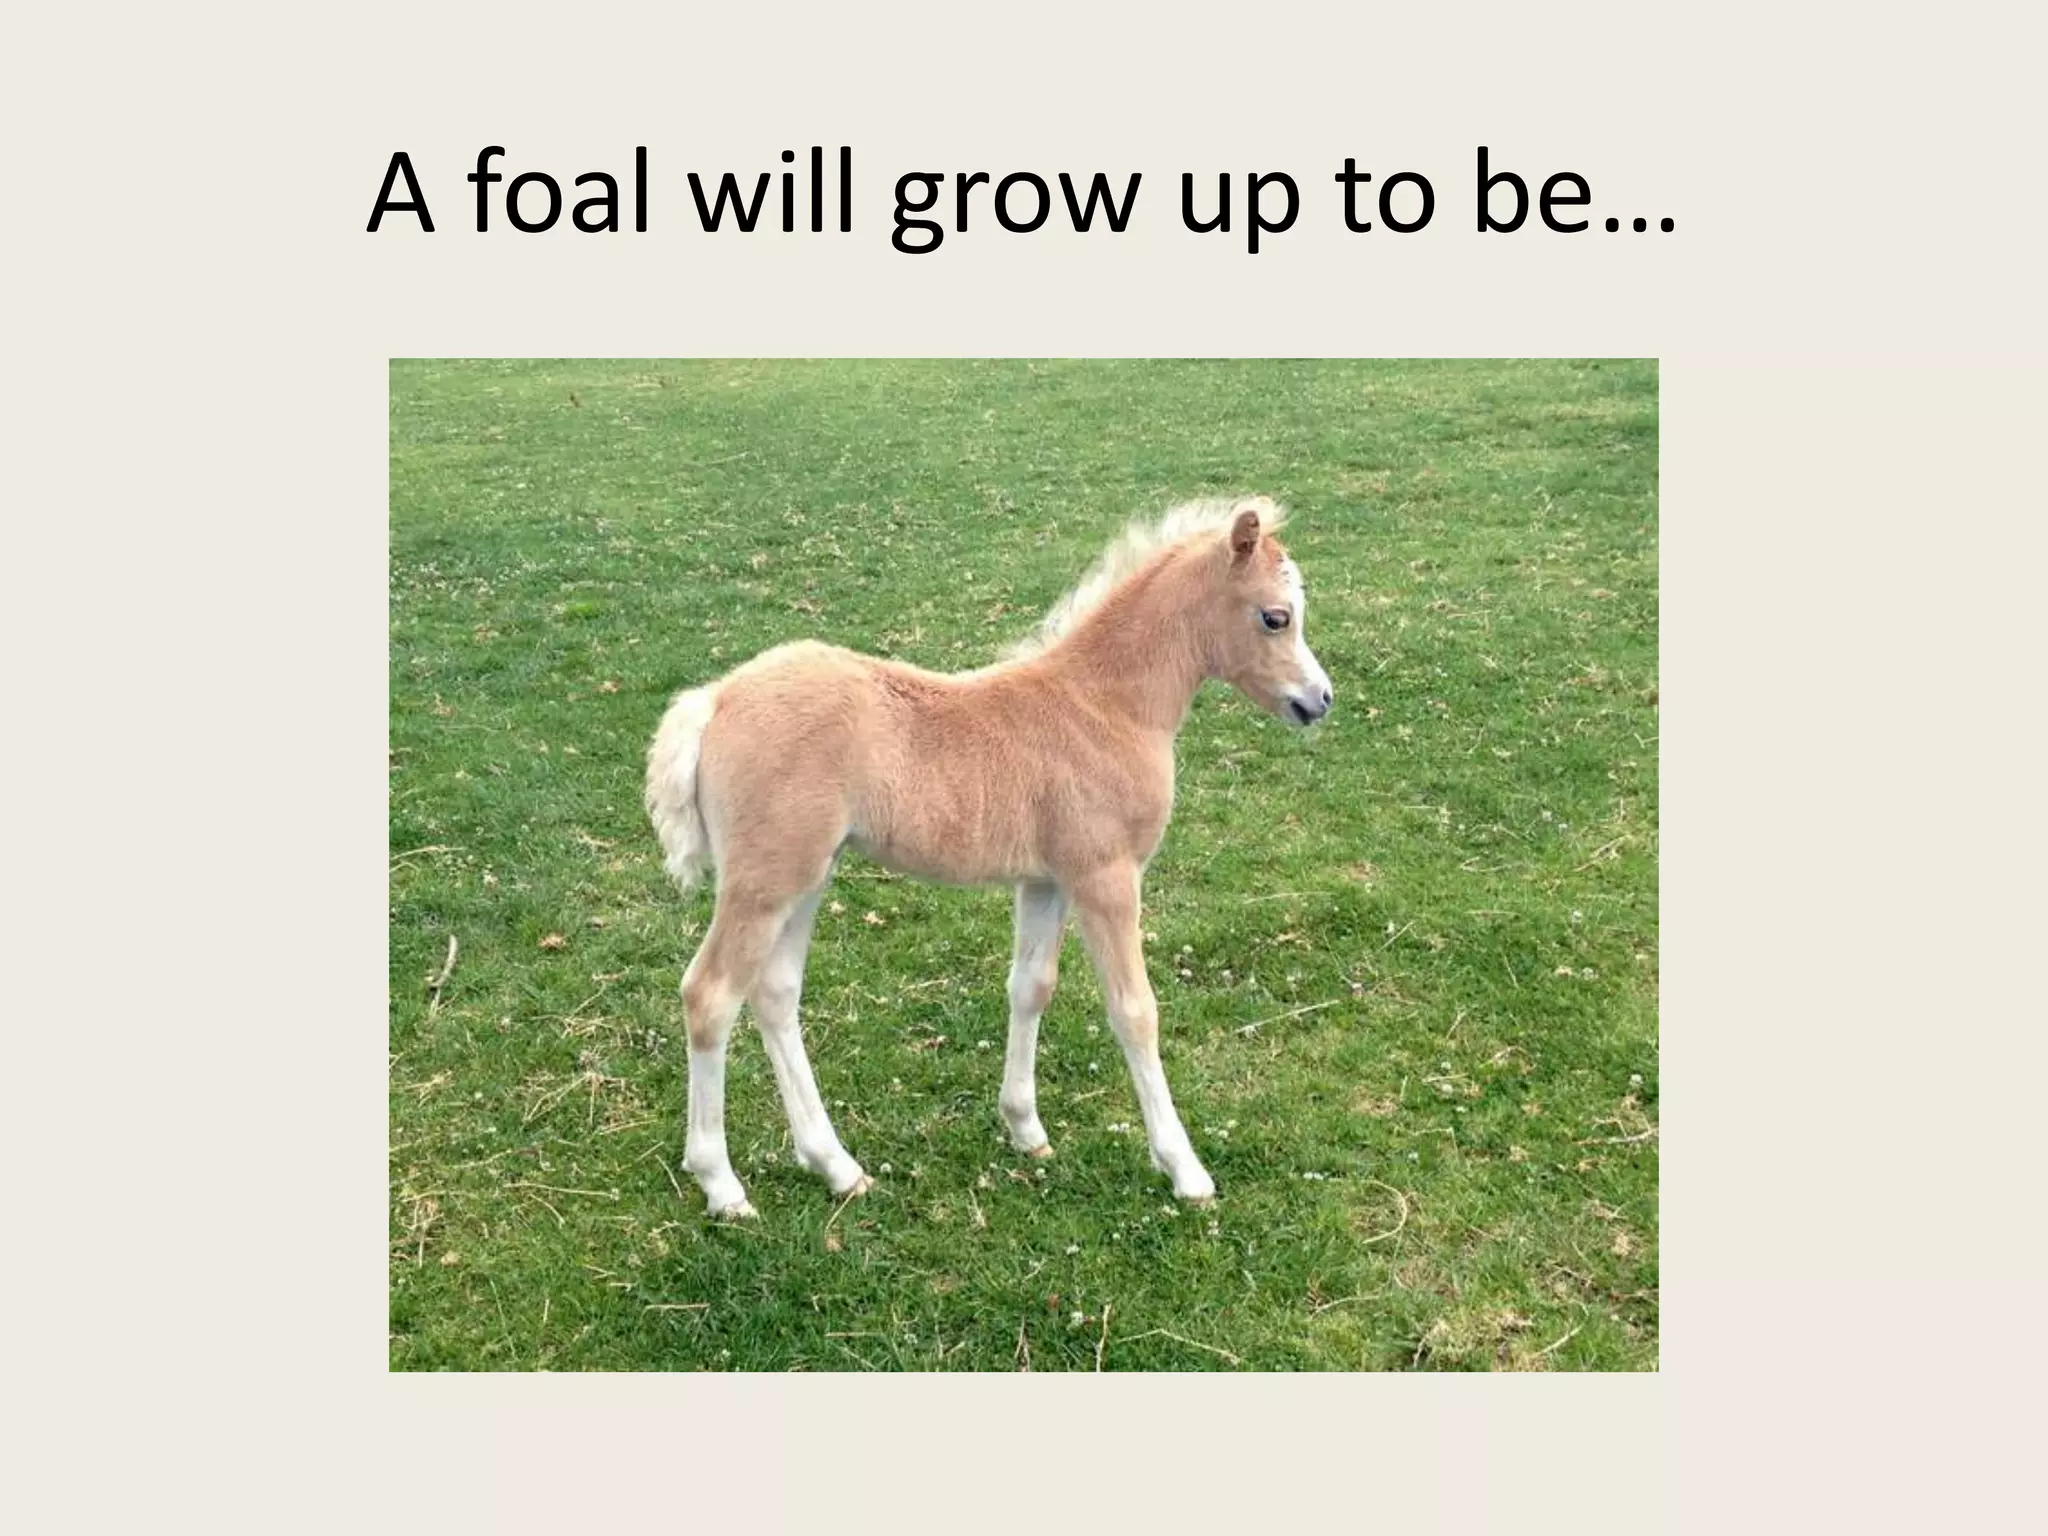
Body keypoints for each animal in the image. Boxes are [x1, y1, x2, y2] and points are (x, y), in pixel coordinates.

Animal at [644, 495, 1333, 1218]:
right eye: (1276, 616)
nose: (1320, 700)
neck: (1105, 707)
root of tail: (715, 698)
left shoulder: (1046, 881)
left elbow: (1030, 987)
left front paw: (1025, 1129)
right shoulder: (1106, 877)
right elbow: (1134, 1011)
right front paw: (1185, 1170)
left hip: (806, 877)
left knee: (774, 993)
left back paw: (836, 1166)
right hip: (765, 881)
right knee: (711, 996)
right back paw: (722, 1185)